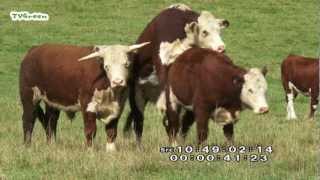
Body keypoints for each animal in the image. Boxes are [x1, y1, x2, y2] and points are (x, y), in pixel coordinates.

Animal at [19, 42, 149, 150]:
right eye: (106, 66)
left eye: (126, 64)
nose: (118, 81)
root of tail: (34, 49)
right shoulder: (88, 106)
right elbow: (90, 131)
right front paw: (90, 151)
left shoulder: (117, 108)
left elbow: (111, 132)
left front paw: (111, 151)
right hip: (29, 96)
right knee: (28, 120)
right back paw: (27, 146)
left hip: (52, 101)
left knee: (51, 121)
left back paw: (52, 145)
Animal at [122, 3, 230, 145]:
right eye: (204, 32)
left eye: (219, 31)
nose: (221, 48)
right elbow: (171, 121)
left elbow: (184, 124)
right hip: (137, 96)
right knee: (139, 123)